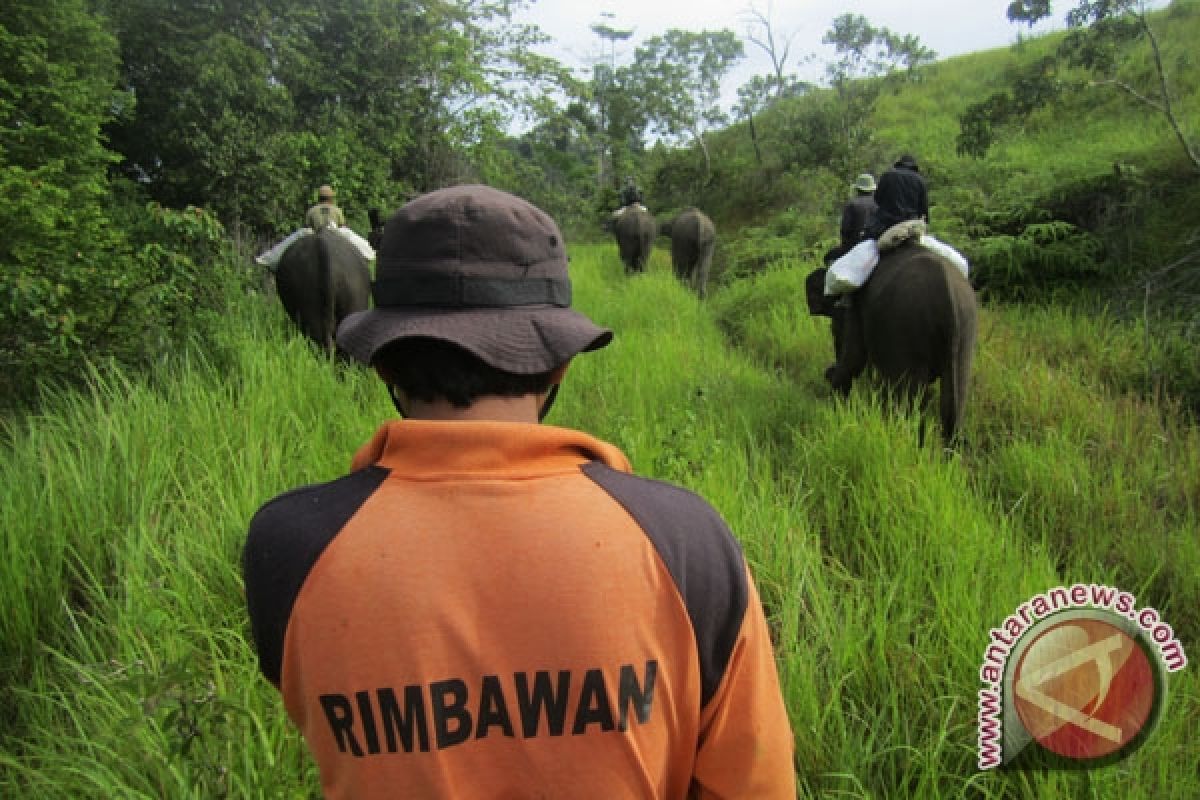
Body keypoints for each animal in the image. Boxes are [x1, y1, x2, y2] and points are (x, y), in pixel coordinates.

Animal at [801, 241, 979, 448]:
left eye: (834, 328)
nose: (828, 371)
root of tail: (946, 297)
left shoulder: (856, 305)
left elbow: (854, 358)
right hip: (965, 330)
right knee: (954, 404)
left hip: (906, 326)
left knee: (910, 406)